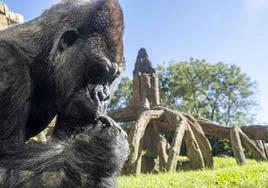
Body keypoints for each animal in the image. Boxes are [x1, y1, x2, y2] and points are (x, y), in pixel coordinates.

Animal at [0, 0, 129, 187]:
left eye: (111, 78)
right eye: (96, 72)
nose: (104, 97)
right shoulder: (8, 67)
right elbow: (6, 164)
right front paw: (101, 148)